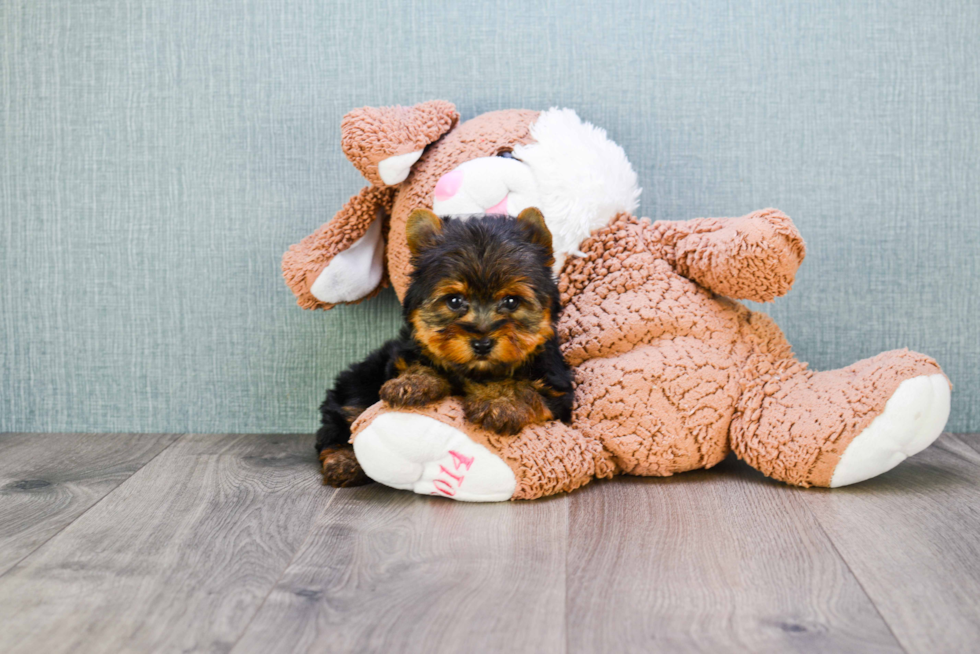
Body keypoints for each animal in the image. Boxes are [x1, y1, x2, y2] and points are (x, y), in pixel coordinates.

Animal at [314, 208, 576, 490]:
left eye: (511, 301)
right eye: (454, 301)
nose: (482, 342)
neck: (475, 371)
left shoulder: (557, 390)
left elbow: (526, 388)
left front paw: (501, 401)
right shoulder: (406, 353)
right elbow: (420, 362)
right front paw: (414, 383)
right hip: (358, 384)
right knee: (341, 422)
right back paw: (344, 461)